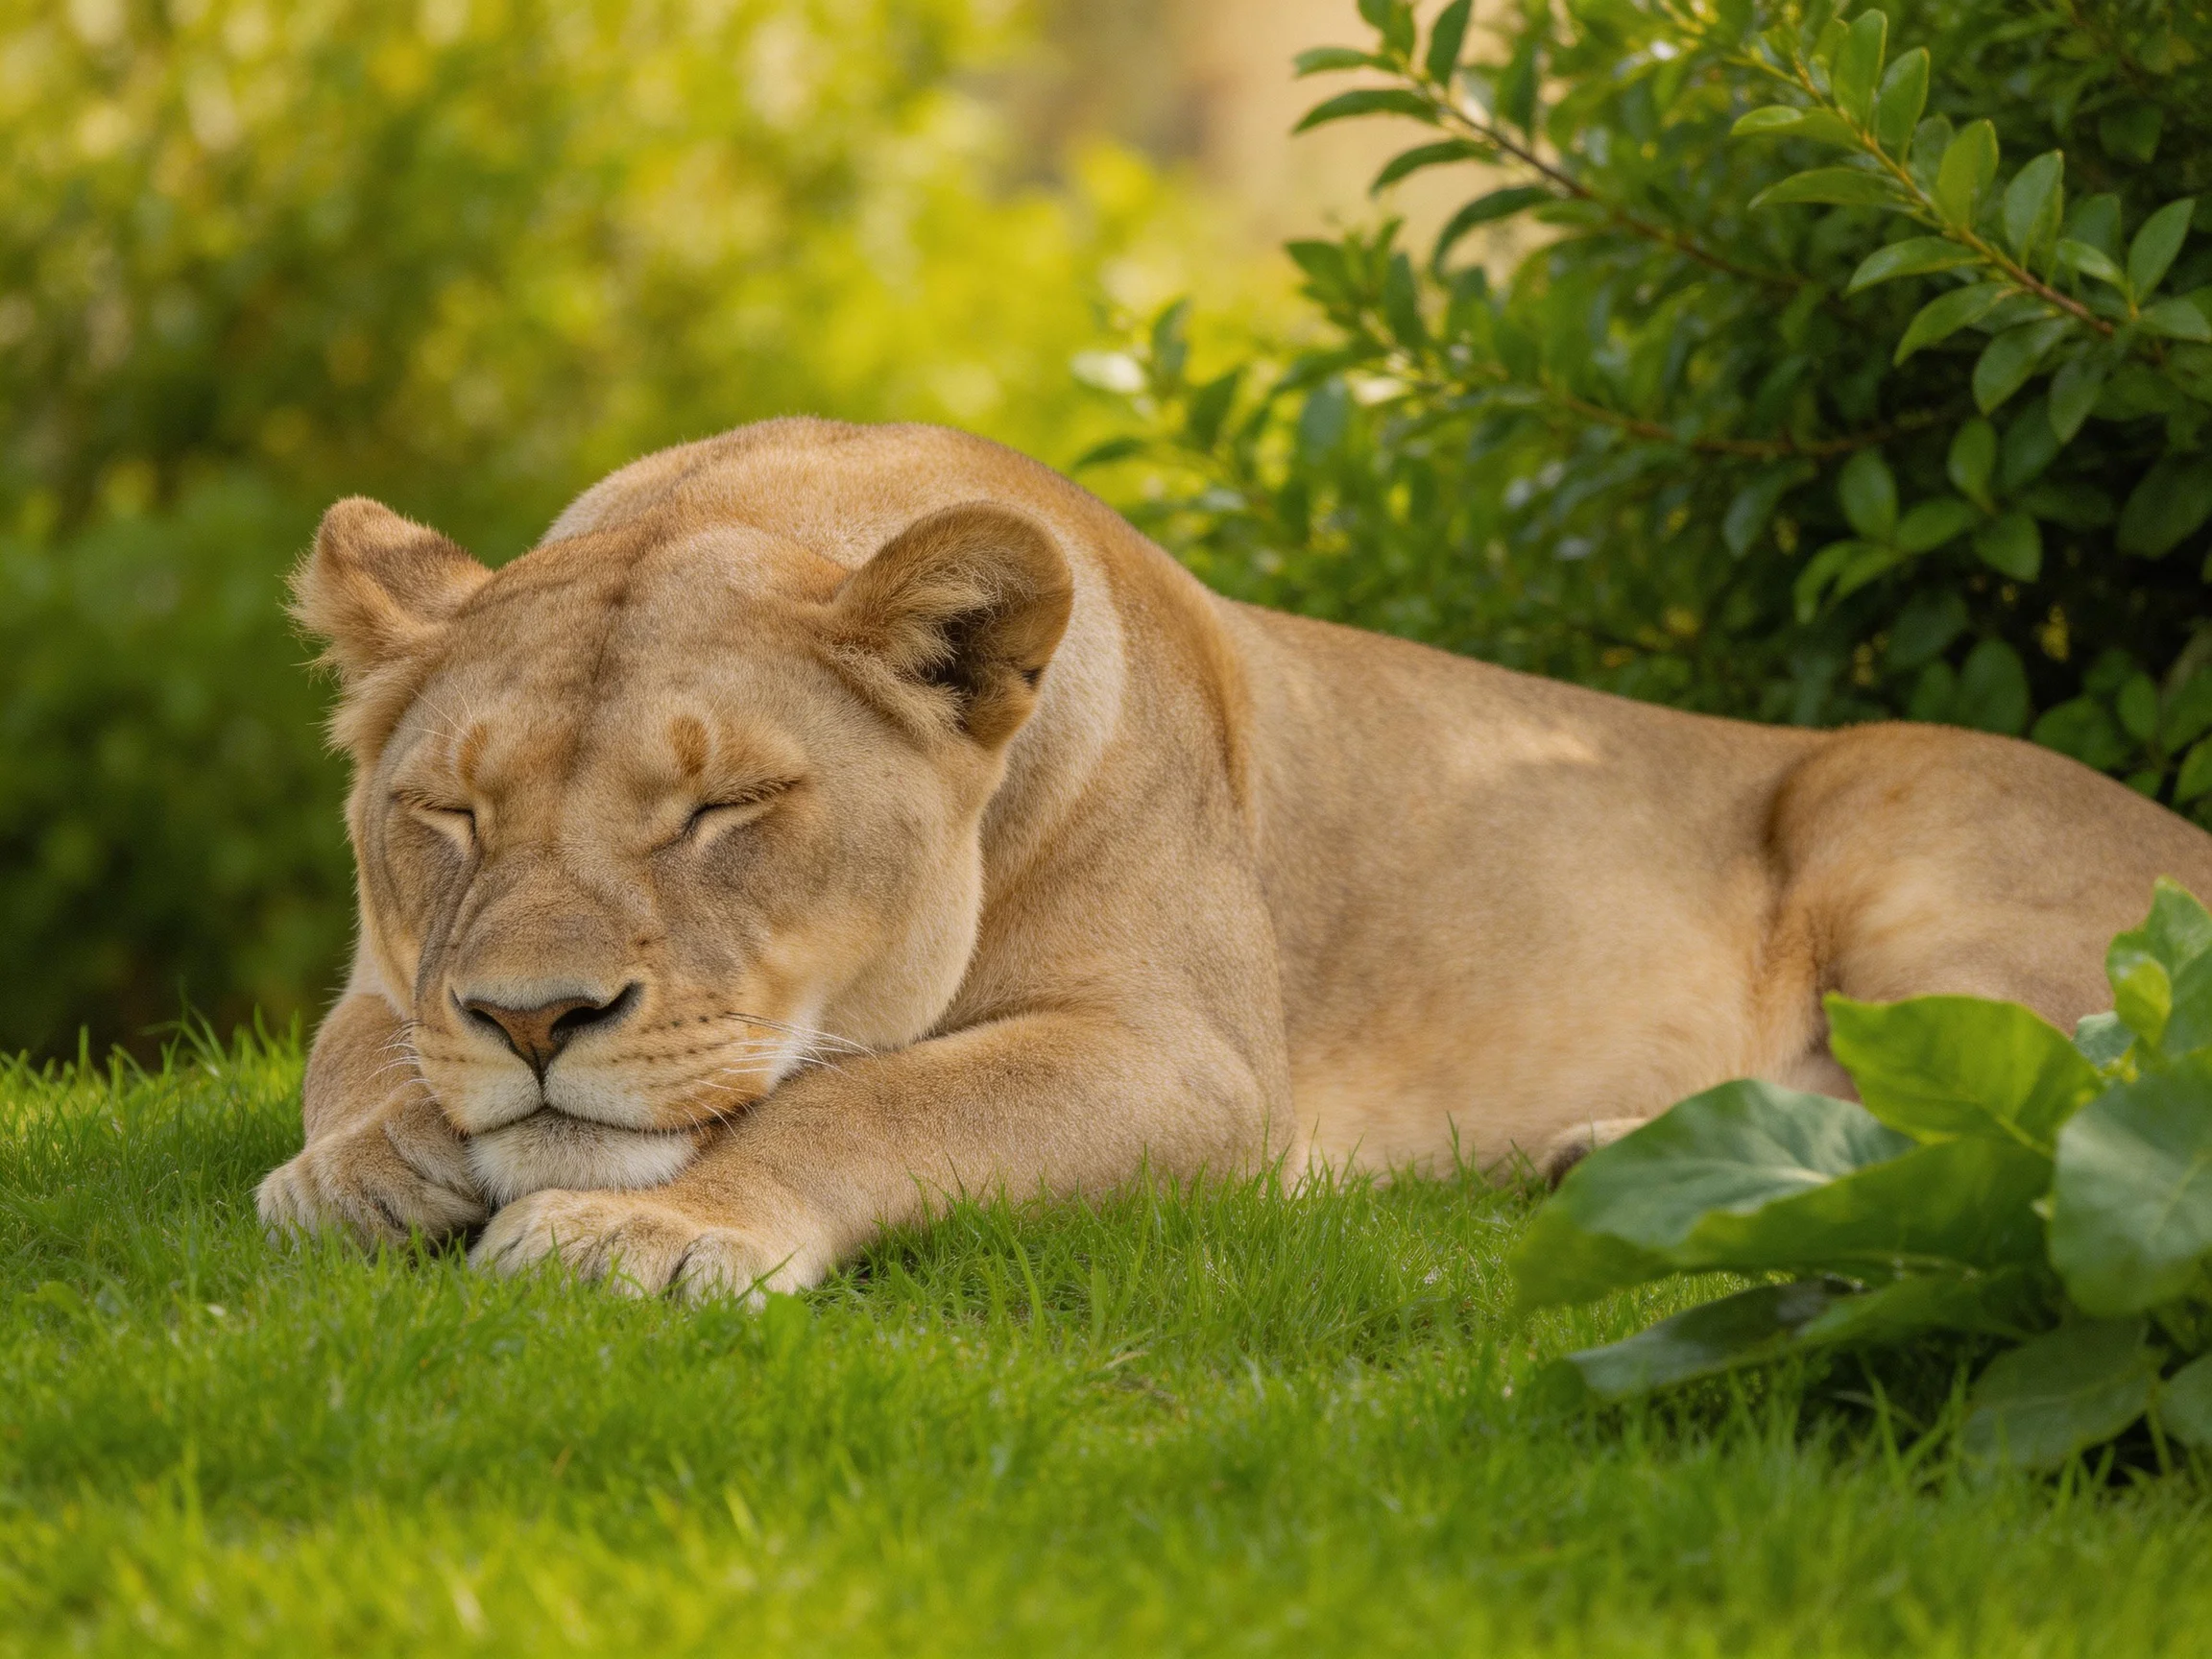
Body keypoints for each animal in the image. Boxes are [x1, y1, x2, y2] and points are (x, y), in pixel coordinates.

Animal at [256, 418, 2212, 1297]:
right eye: (448, 815)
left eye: (725, 808)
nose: (534, 1020)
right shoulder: (380, 967)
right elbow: (354, 1050)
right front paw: (370, 1169)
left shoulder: (1183, 1065)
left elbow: (869, 1100)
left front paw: (650, 1226)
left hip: (1896, 815)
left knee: (2068, 1100)